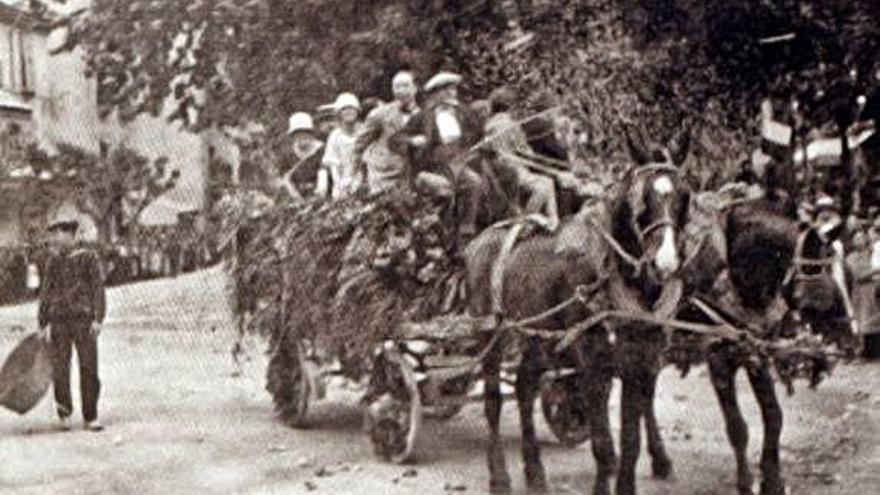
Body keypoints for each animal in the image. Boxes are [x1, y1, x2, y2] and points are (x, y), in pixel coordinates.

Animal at [464, 129, 692, 495]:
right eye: (643, 199)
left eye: (684, 196)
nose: (665, 263)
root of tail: (479, 240)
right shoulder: (595, 365)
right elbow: (603, 445)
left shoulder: (641, 362)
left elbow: (630, 443)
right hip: (490, 335)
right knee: (493, 401)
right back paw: (499, 476)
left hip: (539, 339)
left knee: (525, 388)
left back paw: (534, 470)